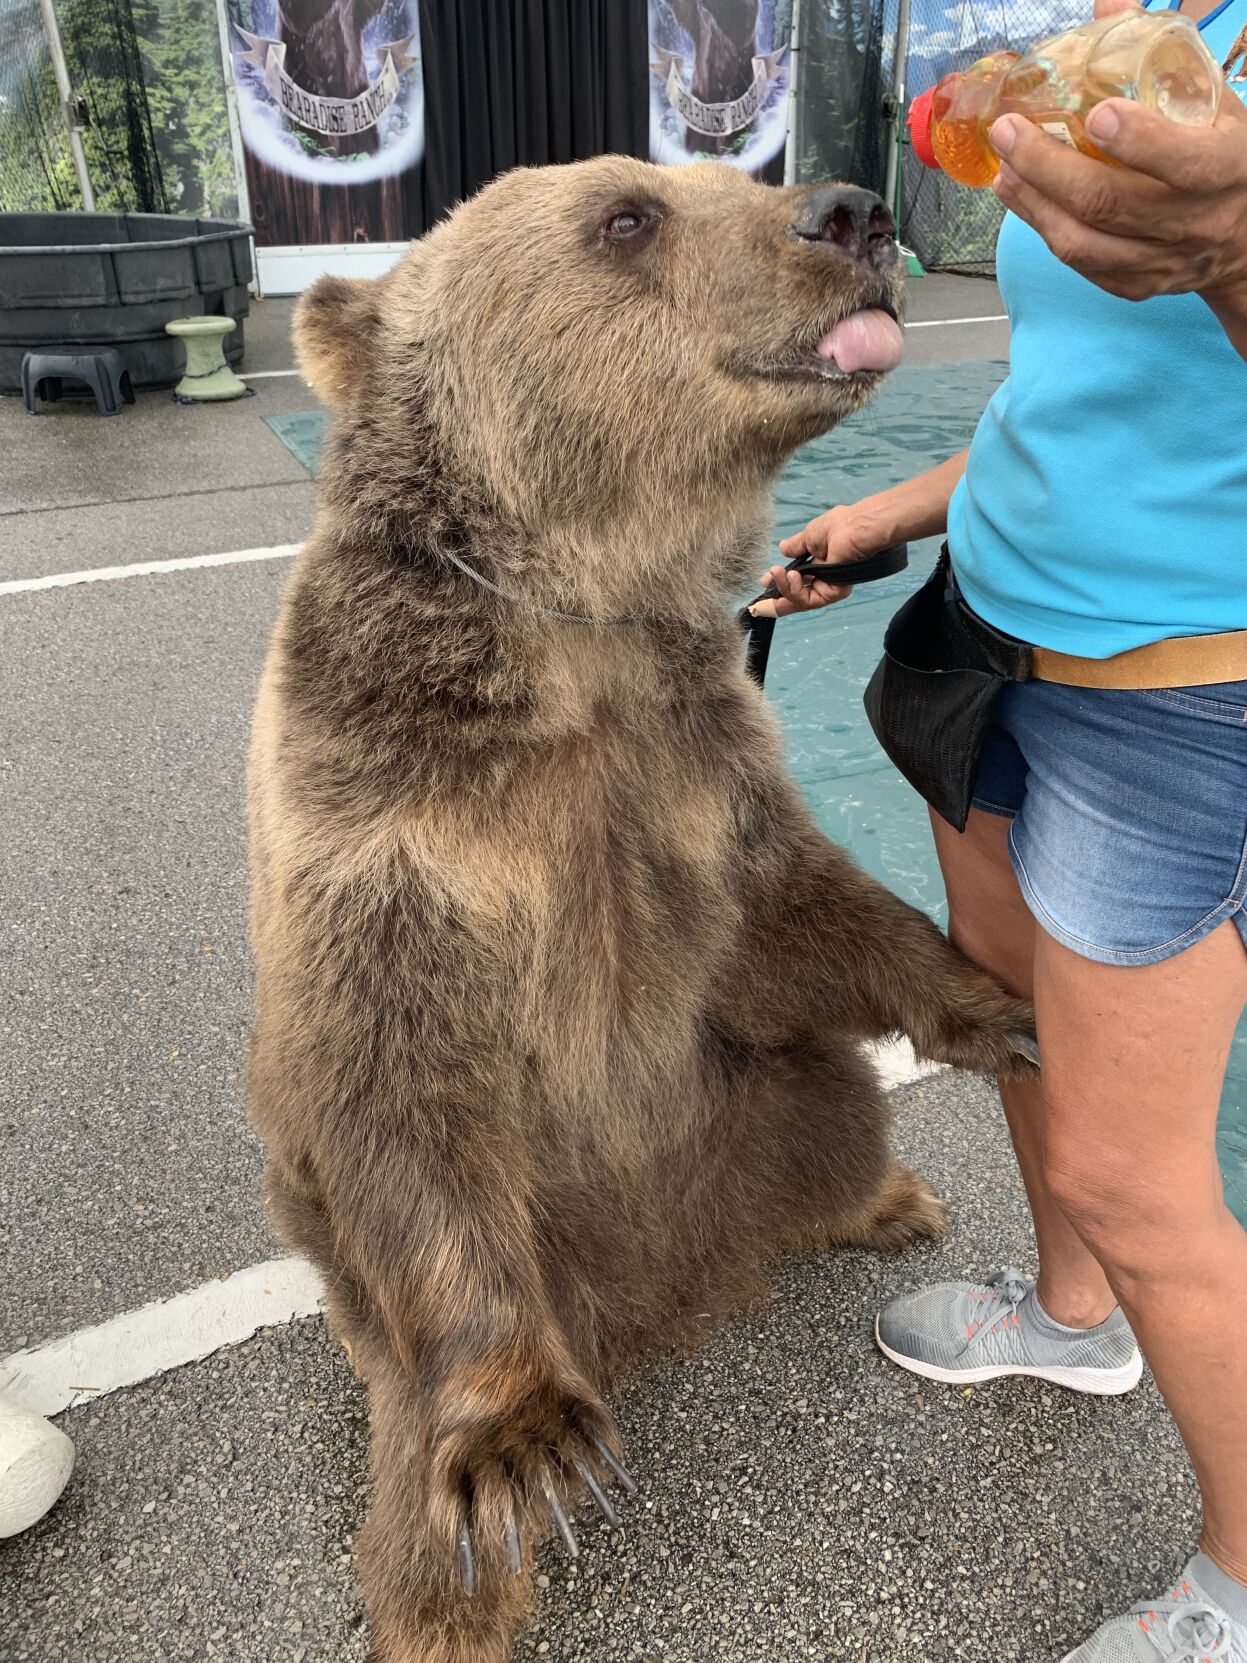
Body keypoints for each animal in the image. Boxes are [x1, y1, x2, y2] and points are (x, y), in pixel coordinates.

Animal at [248, 155, 1034, 1663]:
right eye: (625, 215)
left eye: (738, 170)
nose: (850, 213)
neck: (576, 616)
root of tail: (666, 1294)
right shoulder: (386, 796)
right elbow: (395, 1069)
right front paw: (528, 1440)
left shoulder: (694, 764)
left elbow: (793, 909)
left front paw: (992, 1005)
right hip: (418, 1313)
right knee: (419, 1478)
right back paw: (443, 1600)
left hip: (759, 1100)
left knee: (836, 1112)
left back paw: (885, 1198)